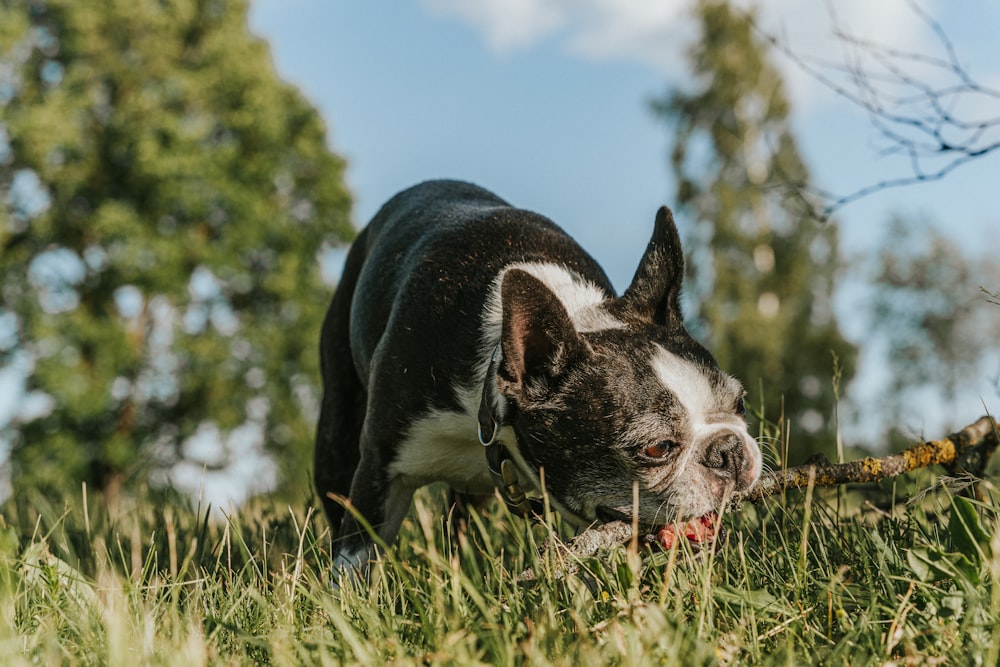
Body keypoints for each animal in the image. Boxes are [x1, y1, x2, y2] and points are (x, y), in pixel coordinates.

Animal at [316, 180, 760, 572]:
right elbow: (356, 557)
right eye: (656, 448)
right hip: (337, 437)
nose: (729, 451)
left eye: (740, 403)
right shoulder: (379, 468)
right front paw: (350, 605)